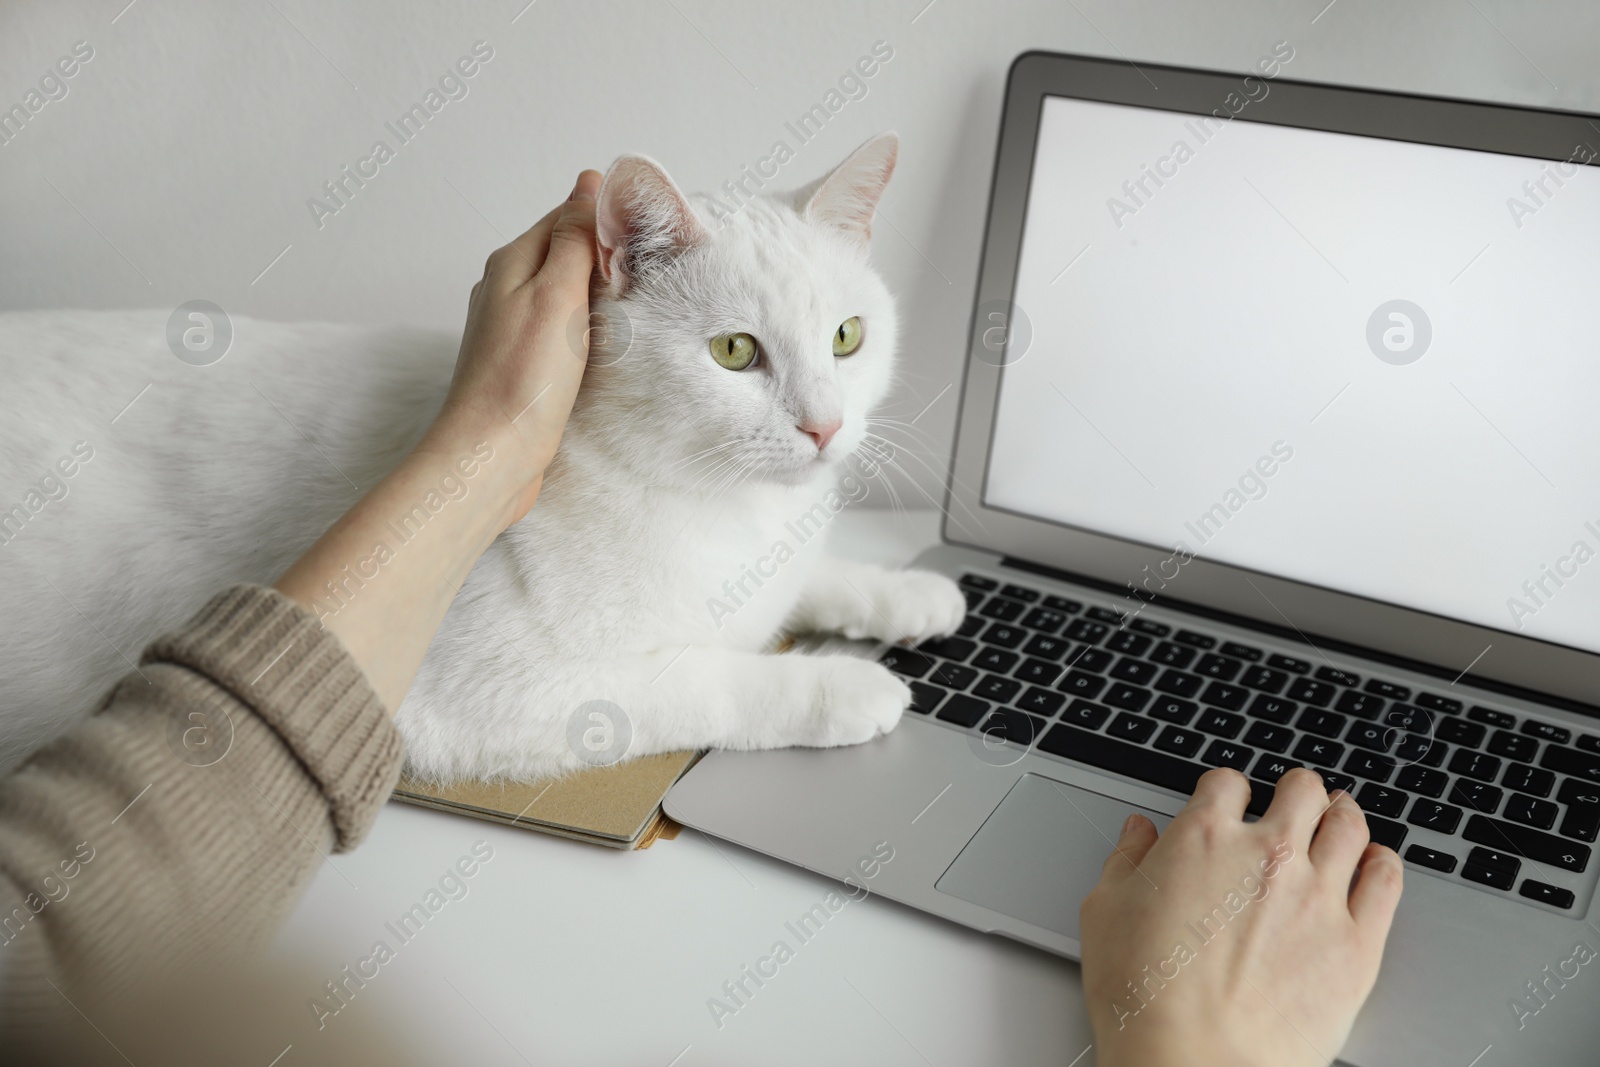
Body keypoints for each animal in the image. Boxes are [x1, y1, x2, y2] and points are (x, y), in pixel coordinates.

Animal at [0, 135, 960, 783]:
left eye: (848, 337)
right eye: (733, 352)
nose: (825, 428)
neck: (727, 509)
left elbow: (816, 578)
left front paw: (911, 591)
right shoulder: (493, 697)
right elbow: (708, 678)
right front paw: (843, 688)